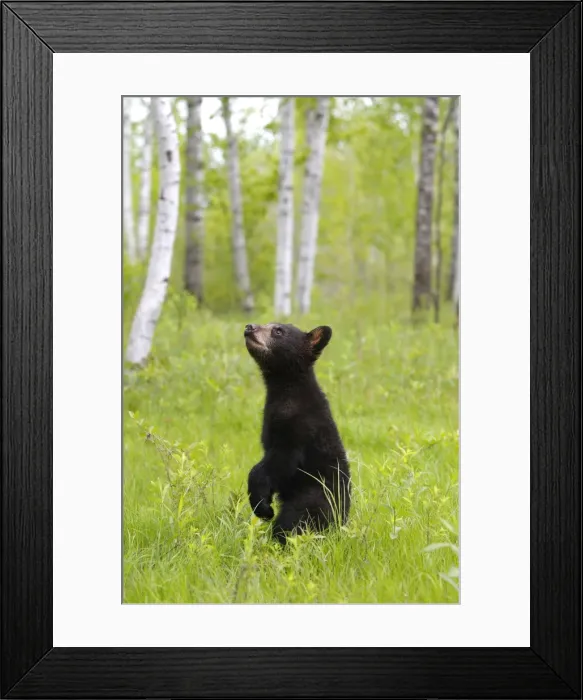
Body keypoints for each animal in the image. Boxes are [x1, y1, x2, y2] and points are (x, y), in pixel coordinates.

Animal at [244, 322, 351, 543]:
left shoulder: (299, 429)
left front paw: (263, 507)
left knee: (293, 521)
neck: (285, 391)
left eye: (278, 330)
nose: (249, 327)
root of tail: (342, 524)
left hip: (314, 497)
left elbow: (279, 463)